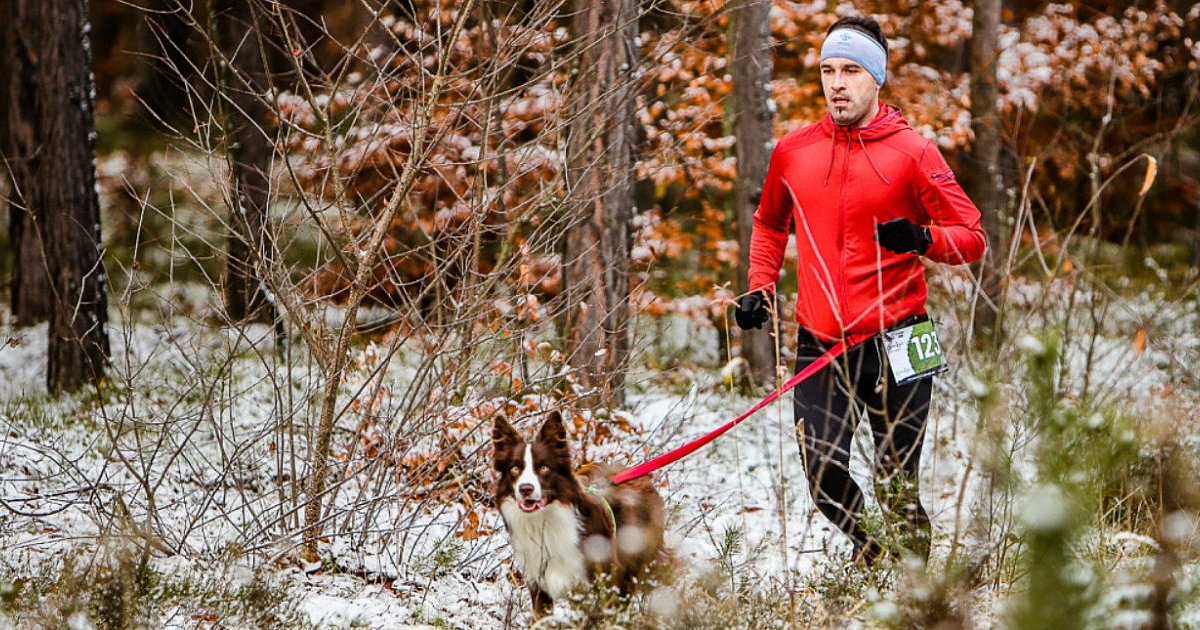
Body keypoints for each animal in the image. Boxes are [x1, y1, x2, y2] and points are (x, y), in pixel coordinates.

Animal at [492, 410, 672, 614]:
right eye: (515, 468)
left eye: (544, 467)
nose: (525, 489)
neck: (544, 521)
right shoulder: (539, 585)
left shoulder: (604, 578)